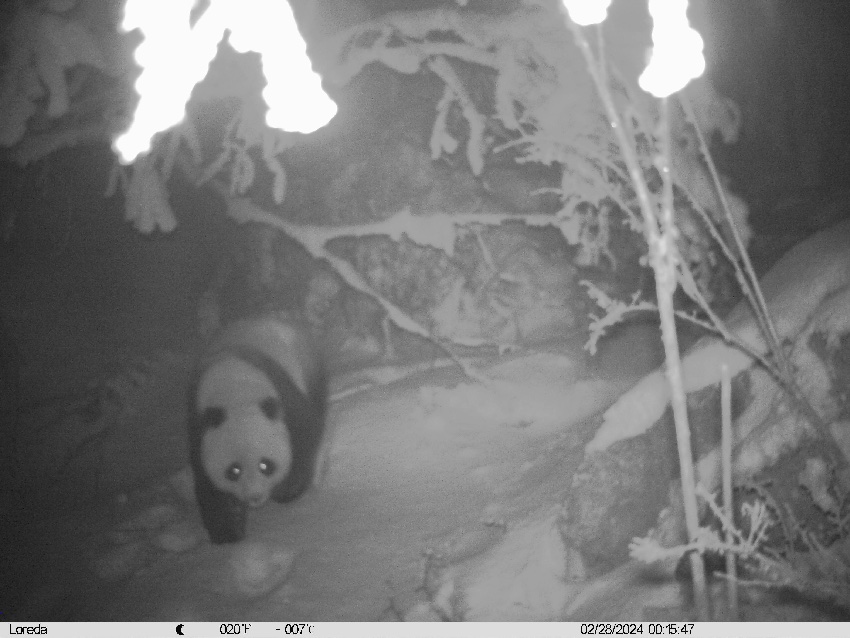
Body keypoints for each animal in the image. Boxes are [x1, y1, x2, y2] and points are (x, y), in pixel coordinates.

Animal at [187, 316, 328, 544]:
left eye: (266, 465)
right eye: (233, 471)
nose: (255, 498)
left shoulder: (283, 393)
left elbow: (305, 436)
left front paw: (288, 490)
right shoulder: (197, 424)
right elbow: (208, 484)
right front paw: (228, 532)